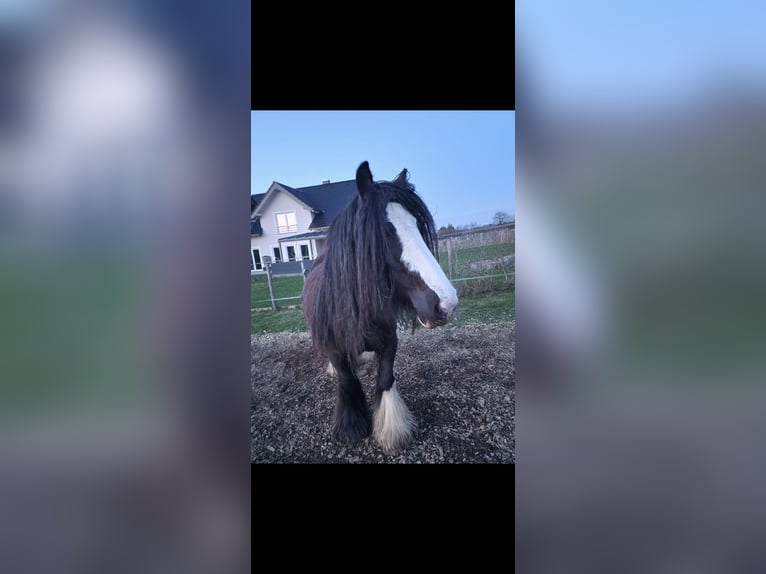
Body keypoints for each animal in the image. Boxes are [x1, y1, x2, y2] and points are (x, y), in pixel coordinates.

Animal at [301, 161, 459, 454]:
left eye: (417, 227)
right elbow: (348, 382)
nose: (447, 304)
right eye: (385, 231)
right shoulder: (336, 350)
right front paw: (351, 429)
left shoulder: (388, 343)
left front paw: (392, 431)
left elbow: (385, 380)